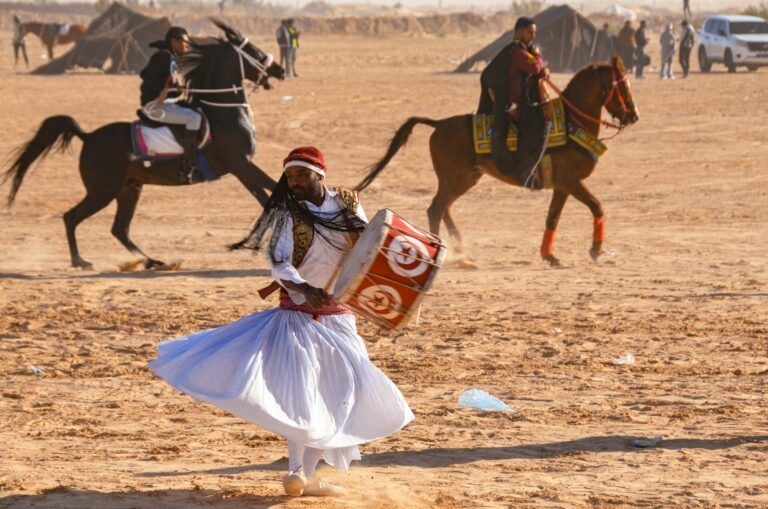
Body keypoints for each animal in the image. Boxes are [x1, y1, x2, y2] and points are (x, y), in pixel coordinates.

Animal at [1, 20, 284, 270]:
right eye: (253, 51)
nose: (280, 70)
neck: (223, 112)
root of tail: (89, 136)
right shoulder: (241, 165)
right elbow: (272, 191)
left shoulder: (242, 169)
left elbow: (266, 197)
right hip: (103, 191)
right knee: (72, 217)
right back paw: (80, 261)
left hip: (129, 189)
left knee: (119, 229)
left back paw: (153, 262)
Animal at [356, 55, 640, 268]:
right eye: (623, 87)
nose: (633, 116)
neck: (572, 122)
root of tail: (439, 124)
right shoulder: (571, 181)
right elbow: (597, 207)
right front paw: (596, 250)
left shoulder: (561, 186)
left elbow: (552, 218)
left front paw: (551, 256)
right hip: (456, 178)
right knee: (436, 208)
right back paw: (441, 250)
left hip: (466, 178)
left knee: (443, 207)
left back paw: (460, 250)